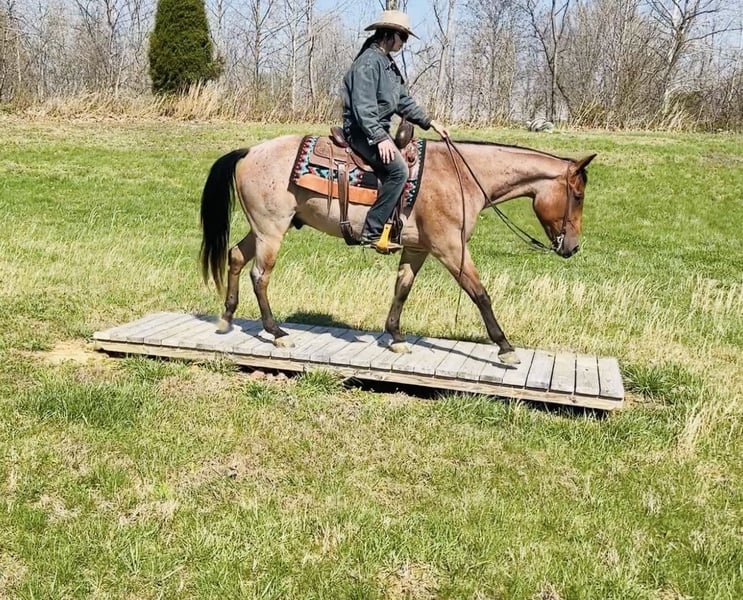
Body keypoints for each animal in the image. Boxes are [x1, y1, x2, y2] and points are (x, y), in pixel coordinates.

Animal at [199, 134, 596, 366]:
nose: (573, 247)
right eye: (577, 195)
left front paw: (396, 336)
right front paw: (505, 347)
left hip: (260, 230)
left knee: (236, 257)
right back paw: (277, 332)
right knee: (260, 275)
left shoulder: (418, 249)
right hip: (271, 230)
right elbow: (480, 294)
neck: (461, 176)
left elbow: (402, 288)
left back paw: (226, 318)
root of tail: (250, 151)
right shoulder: (450, 247)